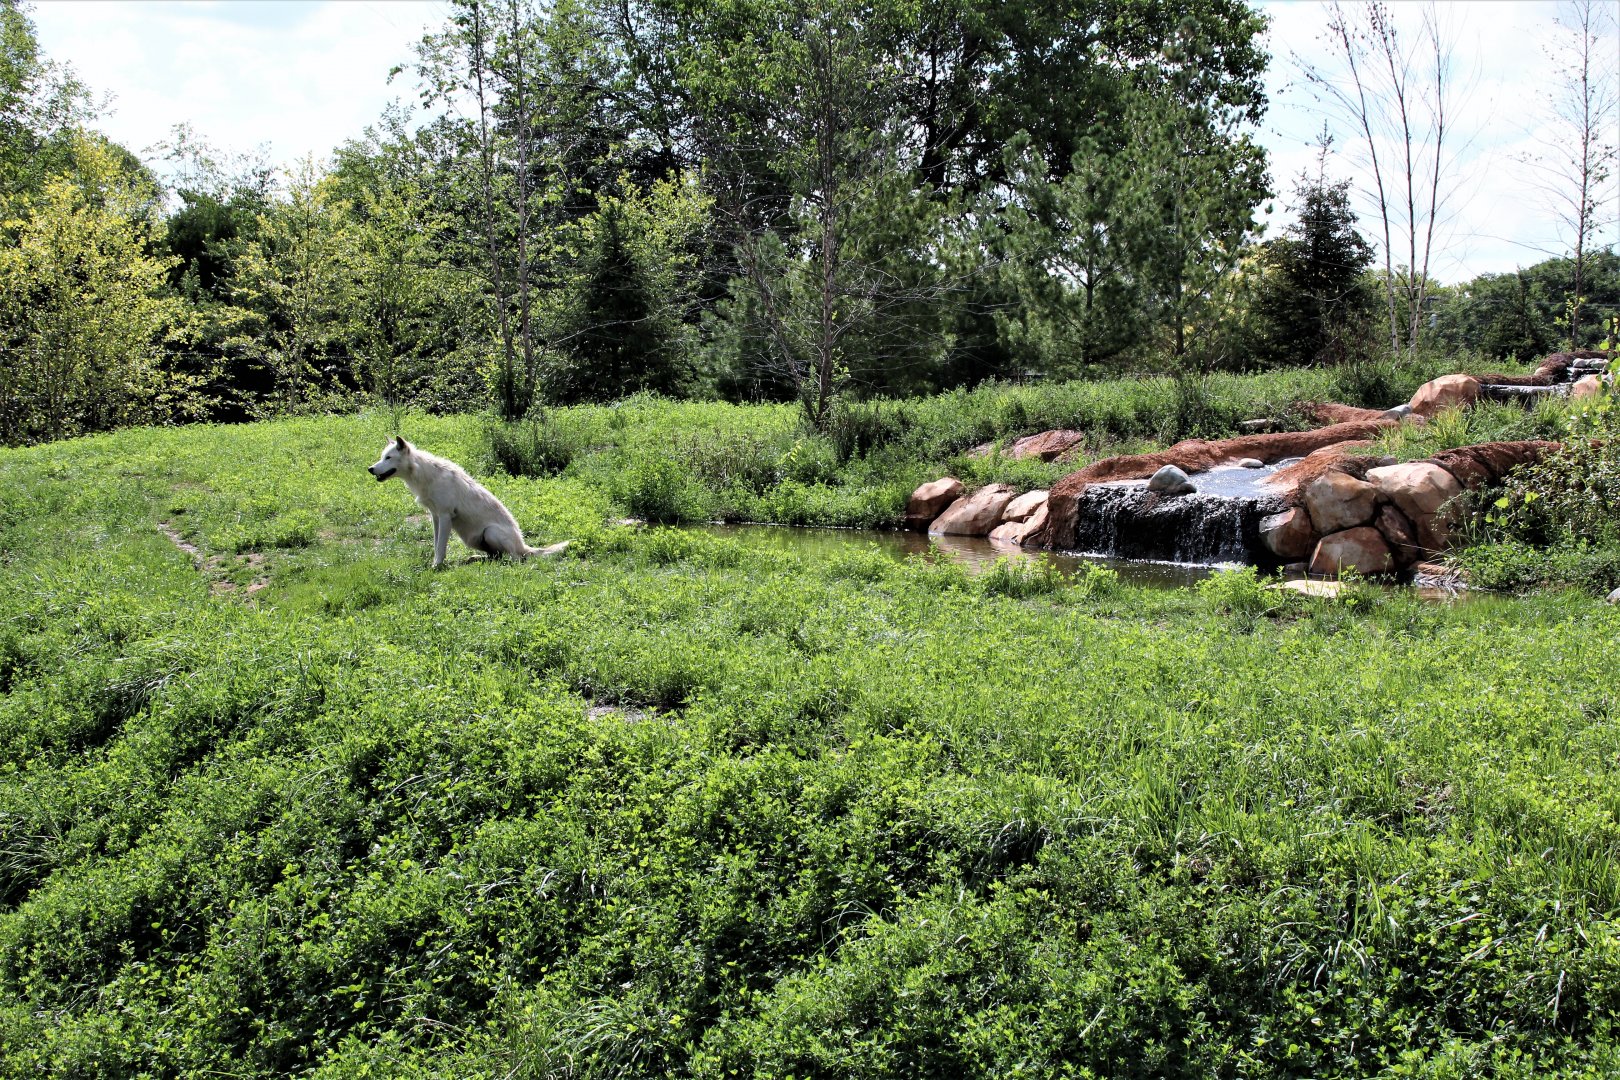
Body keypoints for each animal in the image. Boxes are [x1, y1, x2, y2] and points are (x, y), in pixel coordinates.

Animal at [368, 436, 568, 568]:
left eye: (388, 458)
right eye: (381, 457)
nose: (370, 469)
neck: (425, 476)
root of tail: (523, 545)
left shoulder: (445, 516)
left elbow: (441, 546)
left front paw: (436, 566)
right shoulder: (435, 517)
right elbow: (436, 543)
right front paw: (435, 562)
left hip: (490, 532)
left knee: (515, 558)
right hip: (474, 541)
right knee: (494, 556)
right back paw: (476, 559)